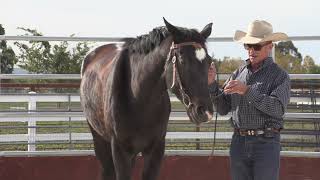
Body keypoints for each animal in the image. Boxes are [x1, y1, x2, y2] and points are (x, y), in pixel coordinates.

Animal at [80, 18, 214, 180]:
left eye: (209, 61)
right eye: (182, 59)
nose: (205, 111)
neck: (138, 99)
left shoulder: (156, 150)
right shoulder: (120, 151)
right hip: (99, 140)